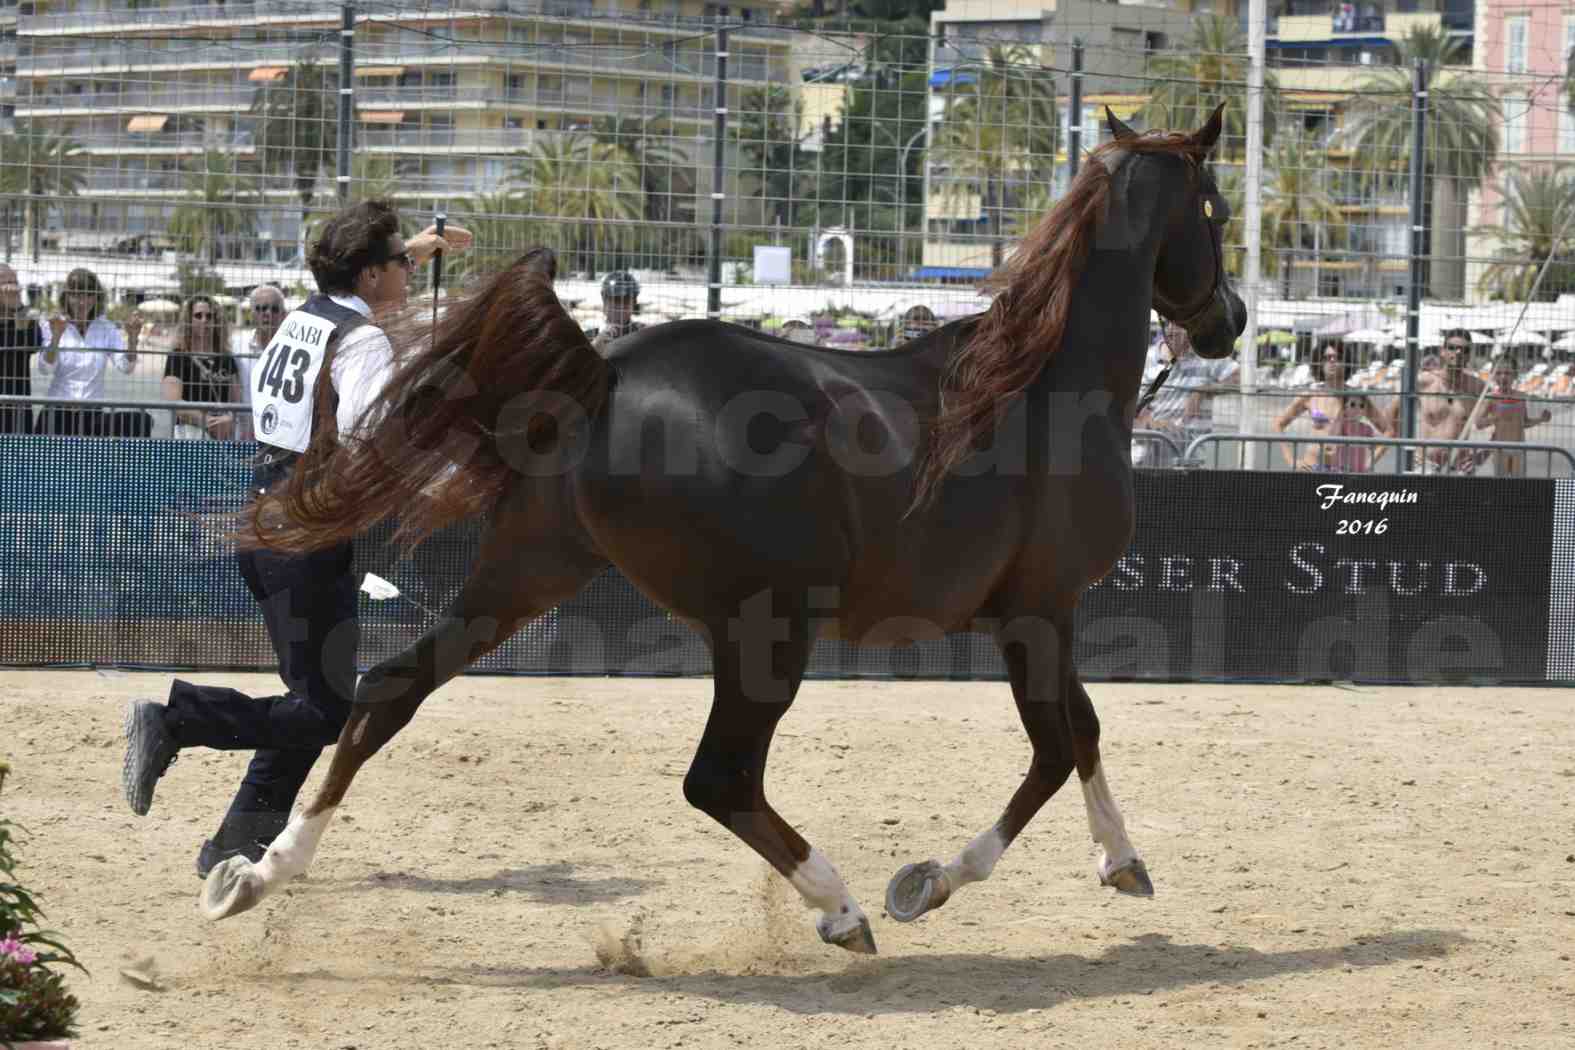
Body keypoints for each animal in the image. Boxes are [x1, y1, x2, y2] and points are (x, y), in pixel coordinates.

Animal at [206, 110, 1241, 957]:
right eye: (1220, 211)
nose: (1227, 323)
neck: (1044, 387)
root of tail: (604, 374)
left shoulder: (1033, 615)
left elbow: (1084, 730)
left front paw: (1121, 862)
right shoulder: (1039, 609)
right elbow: (1056, 748)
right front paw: (925, 884)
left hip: (526, 577)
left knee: (385, 692)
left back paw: (253, 876)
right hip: (764, 631)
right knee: (719, 779)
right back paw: (842, 909)